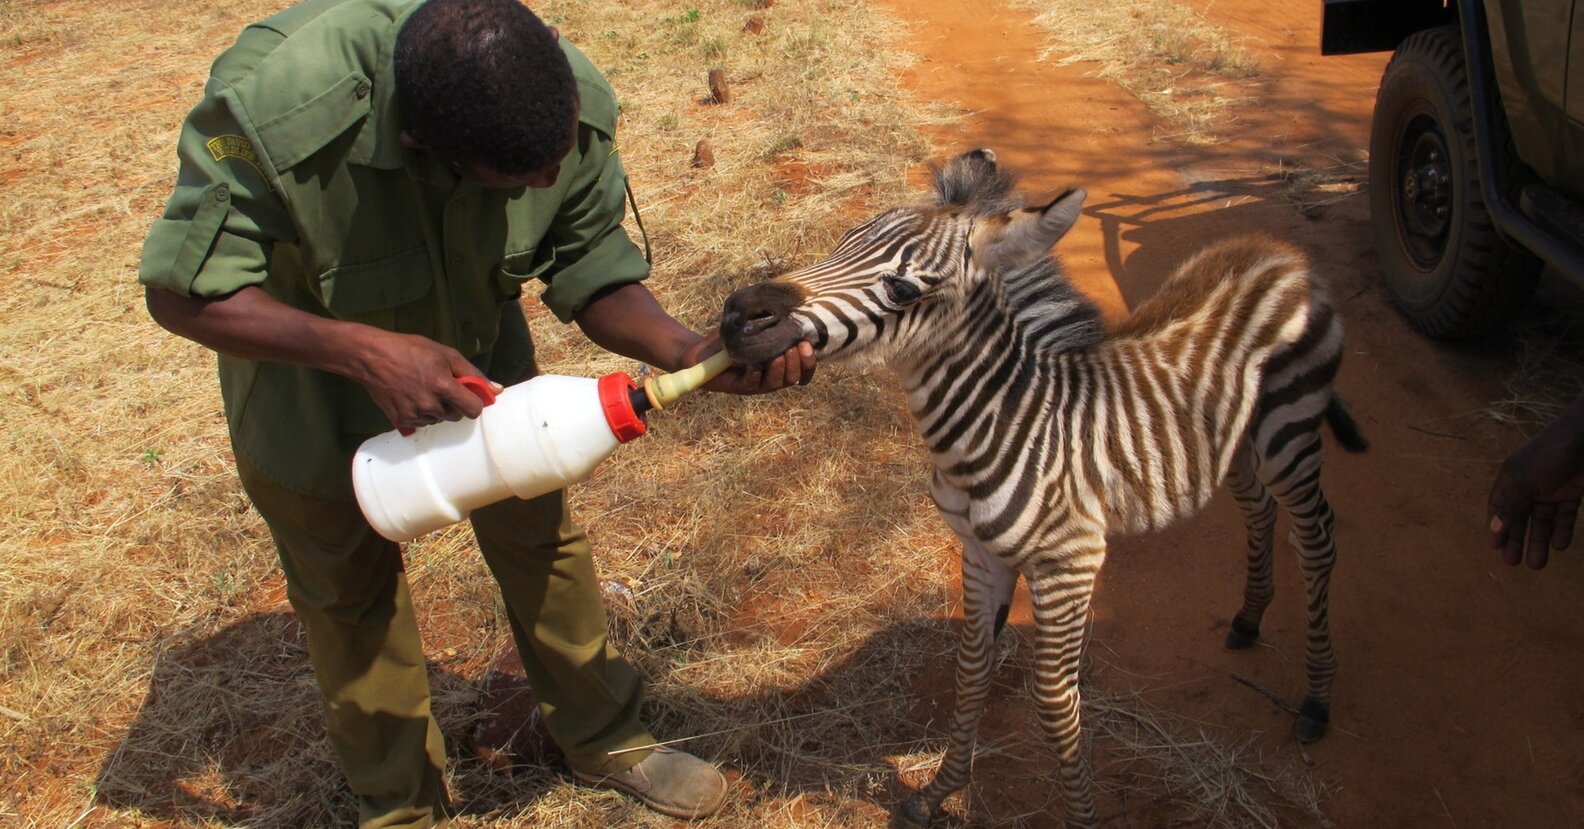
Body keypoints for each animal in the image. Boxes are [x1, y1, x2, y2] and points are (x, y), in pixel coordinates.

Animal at [718, 149, 1367, 828]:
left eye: (903, 289)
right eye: (843, 242)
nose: (737, 315)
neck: (1001, 424)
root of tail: (1279, 255)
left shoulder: (1071, 564)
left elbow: (1055, 703)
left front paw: (1081, 816)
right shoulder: (980, 554)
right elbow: (970, 669)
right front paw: (935, 792)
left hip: (1289, 430)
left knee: (1317, 539)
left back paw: (1316, 699)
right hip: (1234, 440)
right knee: (1258, 509)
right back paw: (1248, 619)